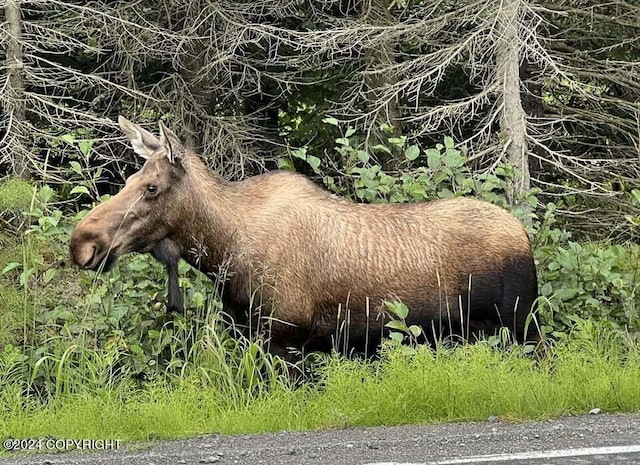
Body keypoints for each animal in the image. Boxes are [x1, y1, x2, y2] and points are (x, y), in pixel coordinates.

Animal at [69, 116, 540, 356]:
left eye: (151, 187)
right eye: (130, 178)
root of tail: (524, 233)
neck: (222, 253)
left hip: (520, 322)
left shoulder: (287, 336)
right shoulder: (251, 331)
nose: (82, 243)